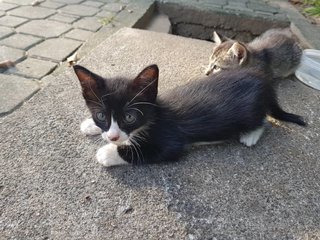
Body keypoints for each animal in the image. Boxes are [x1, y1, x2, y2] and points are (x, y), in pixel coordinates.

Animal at [74, 64, 306, 168]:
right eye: (101, 115)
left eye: (130, 117)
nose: (112, 137)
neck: (153, 116)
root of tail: (263, 81)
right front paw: (90, 126)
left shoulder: (171, 142)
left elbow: (143, 152)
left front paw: (107, 152)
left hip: (251, 111)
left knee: (264, 119)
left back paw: (250, 135)